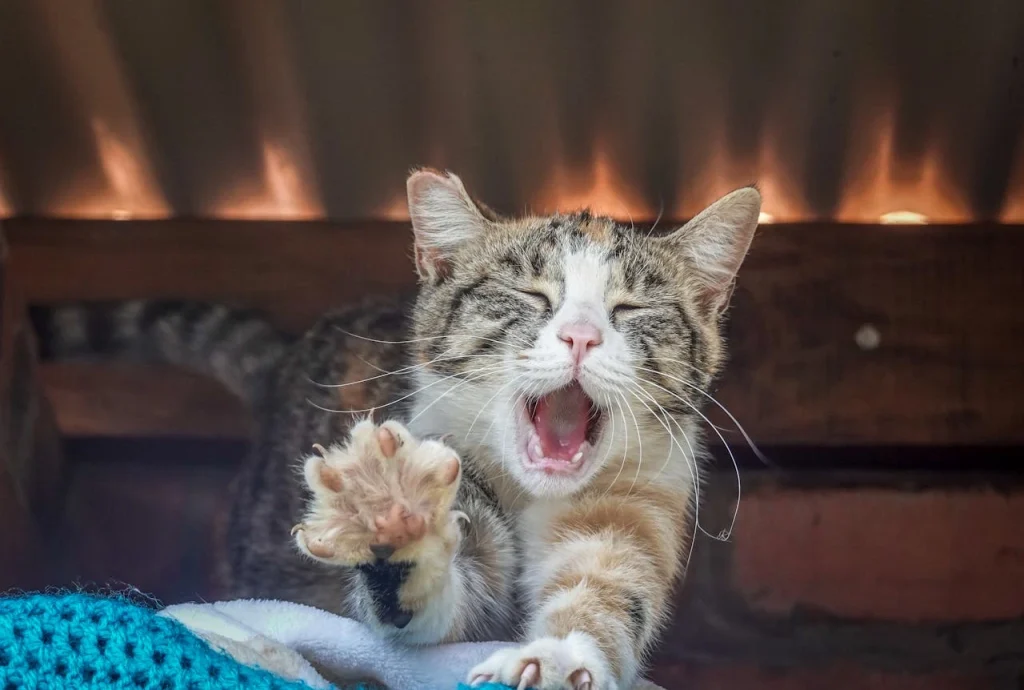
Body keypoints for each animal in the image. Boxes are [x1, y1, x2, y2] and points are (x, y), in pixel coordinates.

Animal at [29, 170, 761, 687]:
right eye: (529, 295)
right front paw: (396, 523)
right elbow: (448, 612)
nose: (580, 335)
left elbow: (606, 593)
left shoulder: (641, 497)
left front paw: (556, 657)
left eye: (631, 308)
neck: (530, 494)